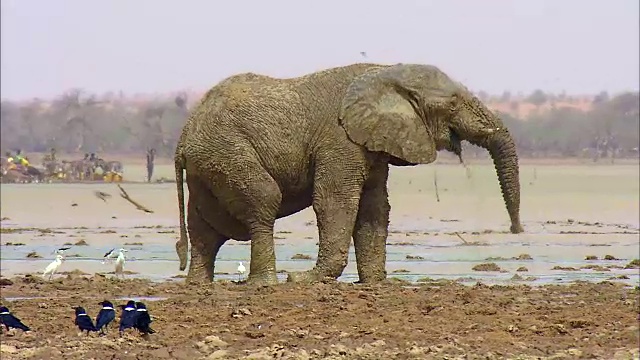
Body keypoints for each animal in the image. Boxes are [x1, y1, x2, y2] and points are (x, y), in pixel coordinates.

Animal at [175, 62, 524, 286]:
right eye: (452, 103)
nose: (517, 229)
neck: (384, 72)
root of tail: (184, 134)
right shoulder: (340, 140)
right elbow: (335, 201)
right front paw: (307, 280)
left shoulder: (371, 142)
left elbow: (375, 208)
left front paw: (377, 283)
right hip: (227, 150)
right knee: (264, 200)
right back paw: (268, 283)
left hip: (207, 164)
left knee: (203, 225)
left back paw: (199, 286)